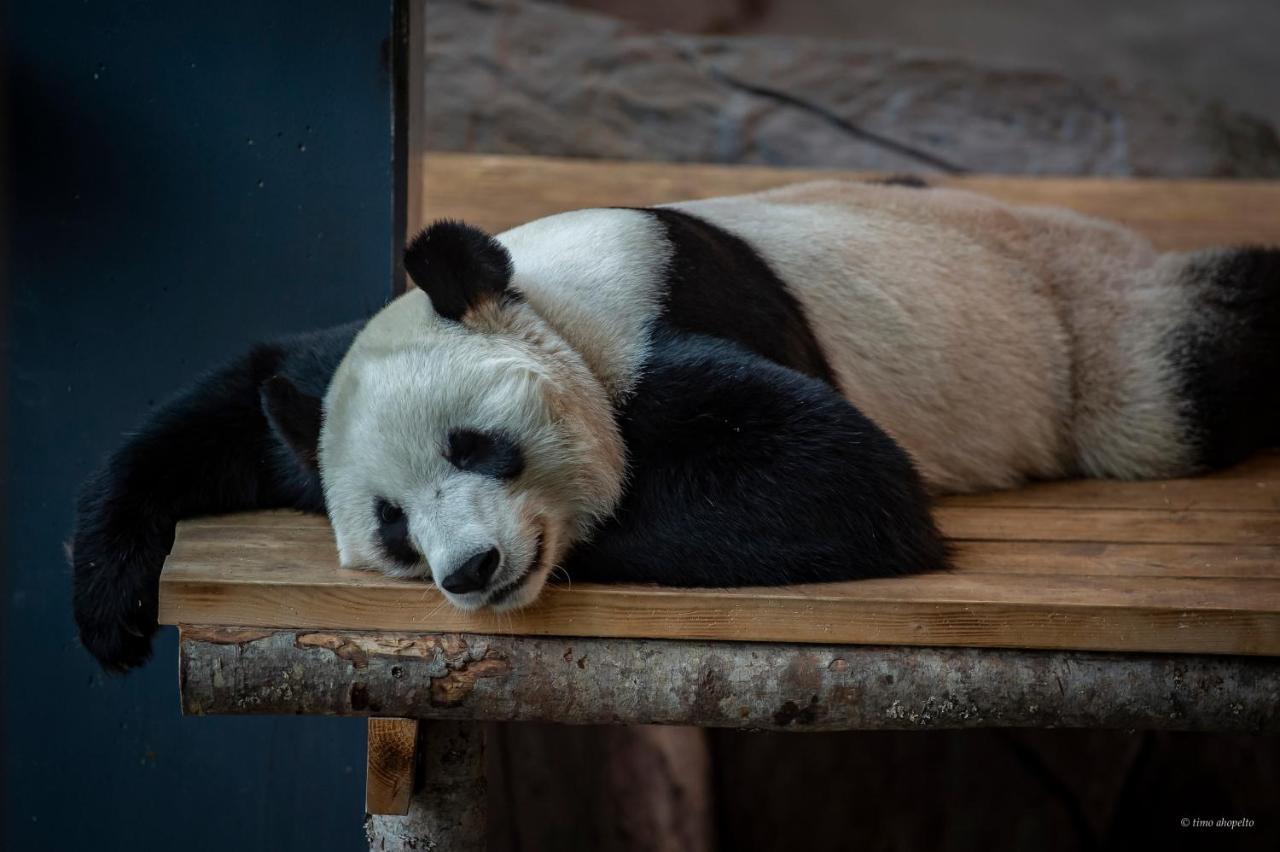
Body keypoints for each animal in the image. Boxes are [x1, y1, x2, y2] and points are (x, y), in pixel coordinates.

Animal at [72, 180, 1280, 670]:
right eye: (393, 526)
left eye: (473, 444)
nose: (472, 570)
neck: (552, 295)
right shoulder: (343, 368)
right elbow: (248, 397)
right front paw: (109, 600)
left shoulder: (654, 325)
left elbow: (832, 477)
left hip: (1096, 346)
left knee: (1195, 366)